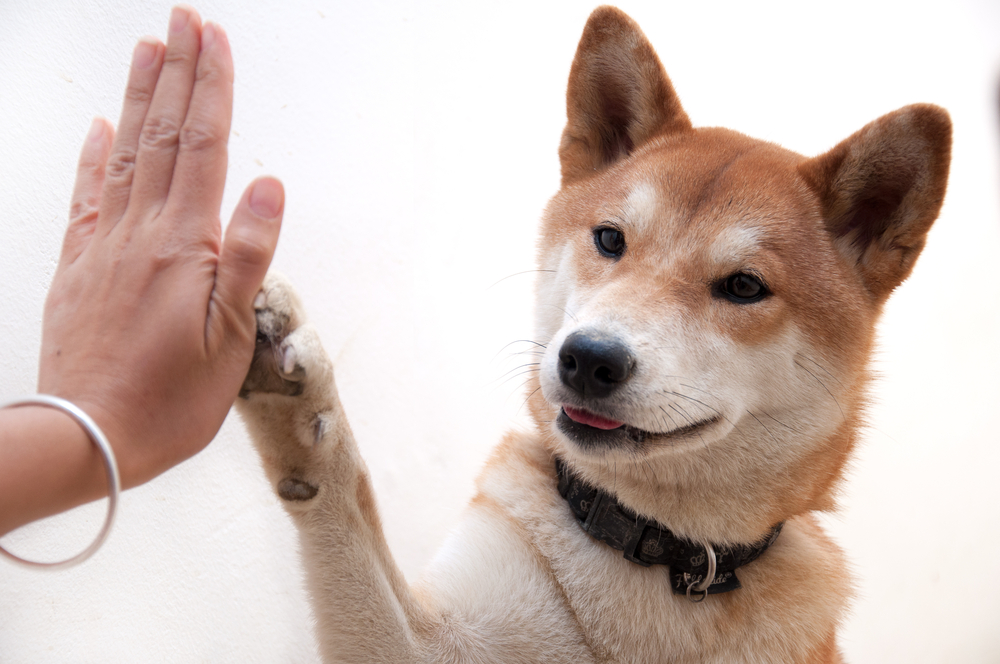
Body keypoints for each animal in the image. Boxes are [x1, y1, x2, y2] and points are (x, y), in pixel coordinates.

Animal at [236, 6, 952, 664]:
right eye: (610, 239)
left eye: (745, 287)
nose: (588, 359)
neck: (660, 555)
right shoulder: (428, 642)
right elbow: (351, 499)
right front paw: (295, 408)